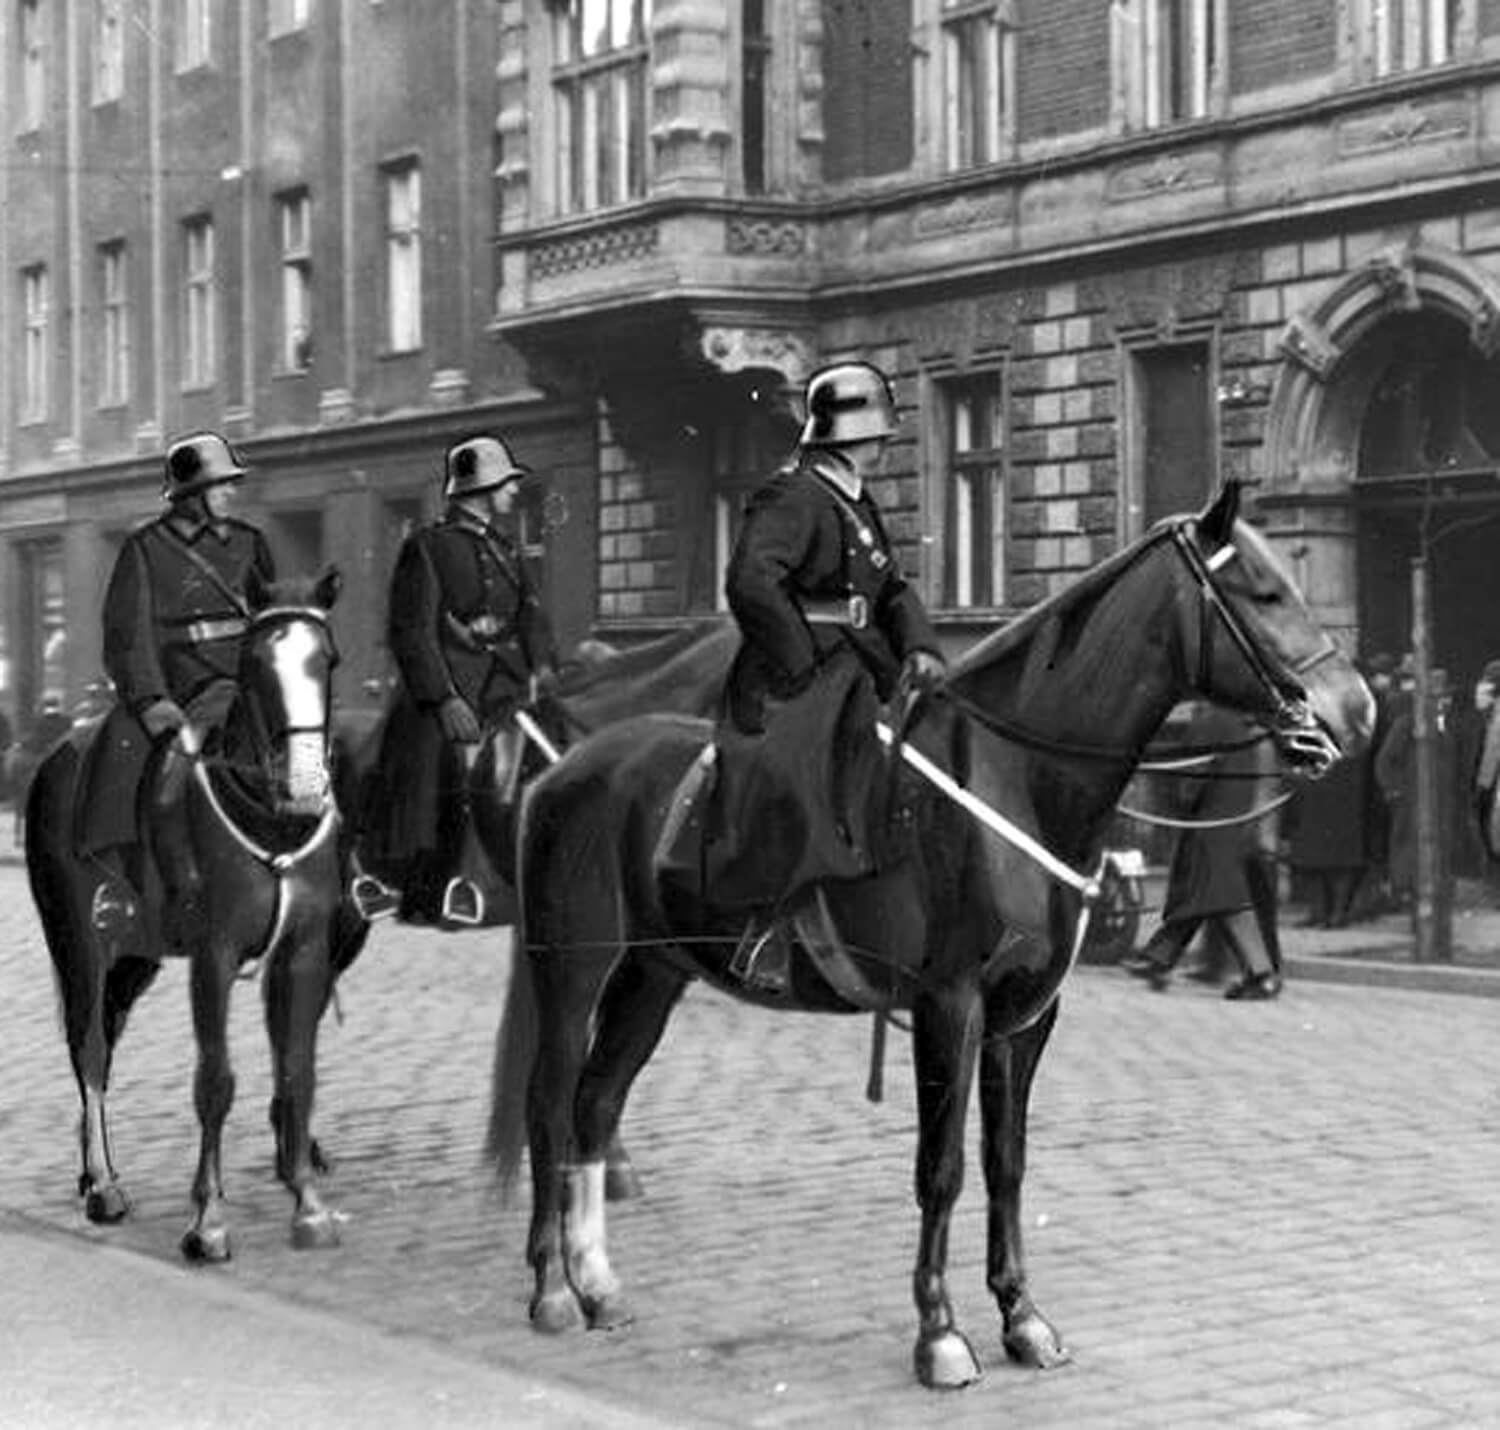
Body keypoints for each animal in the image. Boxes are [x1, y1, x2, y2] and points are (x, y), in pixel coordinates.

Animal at [28, 570, 366, 1260]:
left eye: (328, 659)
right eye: (256, 663)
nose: (305, 786)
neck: (269, 815)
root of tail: (54, 754)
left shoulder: (303, 952)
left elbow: (298, 1071)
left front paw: (308, 1203)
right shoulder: (213, 955)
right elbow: (215, 1080)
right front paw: (207, 1220)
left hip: (134, 957)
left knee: (104, 1038)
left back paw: (91, 1174)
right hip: (79, 945)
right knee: (90, 1048)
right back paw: (104, 1186)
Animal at [486, 480, 1374, 1386]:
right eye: (1264, 593)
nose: (1357, 709)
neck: (1014, 779)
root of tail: (561, 770)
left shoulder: (1025, 1016)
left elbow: (1005, 1162)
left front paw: (1022, 1316)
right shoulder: (950, 1004)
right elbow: (940, 1169)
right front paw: (940, 1333)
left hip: (652, 977)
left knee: (597, 1104)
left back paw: (599, 1284)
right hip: (575, 971)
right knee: (549, 1106)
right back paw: (551, 1289)